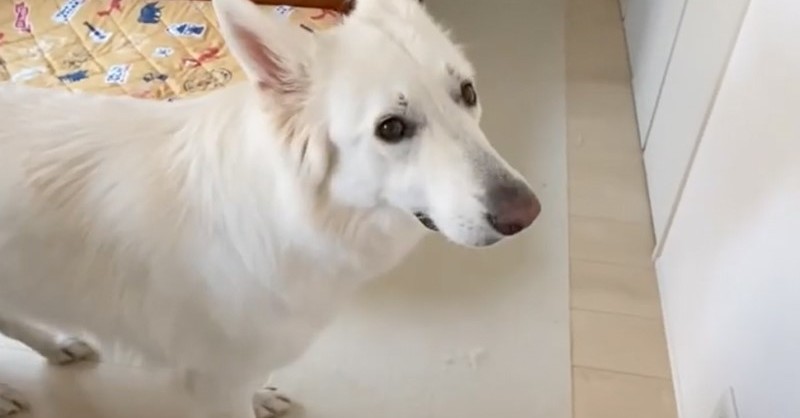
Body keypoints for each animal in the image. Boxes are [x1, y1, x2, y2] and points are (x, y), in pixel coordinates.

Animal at [0, 0, 540, 416]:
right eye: (391, 128)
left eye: (466, 93)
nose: (528, 213)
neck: (295, 216)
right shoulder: (216, 383)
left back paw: (56, 346)